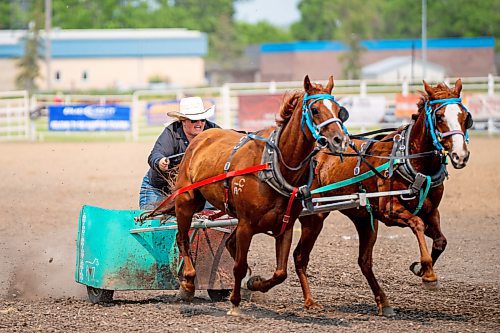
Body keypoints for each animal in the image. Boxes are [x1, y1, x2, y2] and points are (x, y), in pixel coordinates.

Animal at [170, 75, 350, 314]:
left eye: (339, 110)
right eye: (315, 110)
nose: (340, 140)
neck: (273, 166)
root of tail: (201, 137)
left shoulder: (285, 226)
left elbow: (280, 272)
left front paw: (255, 284)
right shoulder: (246, 225)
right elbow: (238, 266)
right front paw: (235, 304)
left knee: (228, 245)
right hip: (186, 201)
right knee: (182, 238)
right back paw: (189, 282)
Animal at [294, 79, 470, 316]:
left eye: (465, 116)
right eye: (440, 116)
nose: (461, 155)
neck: (412, 162)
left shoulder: (431, 212)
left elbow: (441, 240)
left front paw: (420, 268)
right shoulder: (390, 212)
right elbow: (417, 224)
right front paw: (428, 273)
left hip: (364, 220)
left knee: (364, 262)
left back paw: (383, 301)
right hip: (314, 217)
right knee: (300, 256)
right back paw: (309, 300)